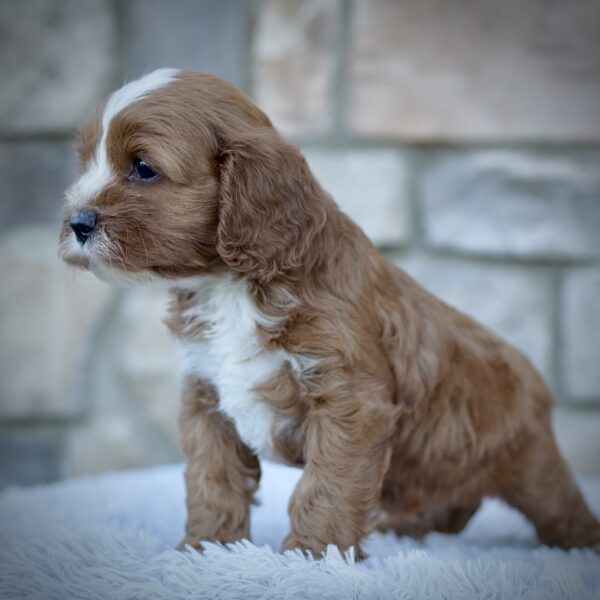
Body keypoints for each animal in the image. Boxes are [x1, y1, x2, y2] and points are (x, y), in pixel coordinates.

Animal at [59, 69, 600, 556]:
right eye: (86, 161)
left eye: (143, 167)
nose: (77, 222)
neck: (229, 286)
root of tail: (533, 377)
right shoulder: (206, 398)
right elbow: (212, 478)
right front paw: (205, 549)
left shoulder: (349, 399)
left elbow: (327, 487)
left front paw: (314, 556)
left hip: (531, 461)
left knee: (560, 506)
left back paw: (578, 543)